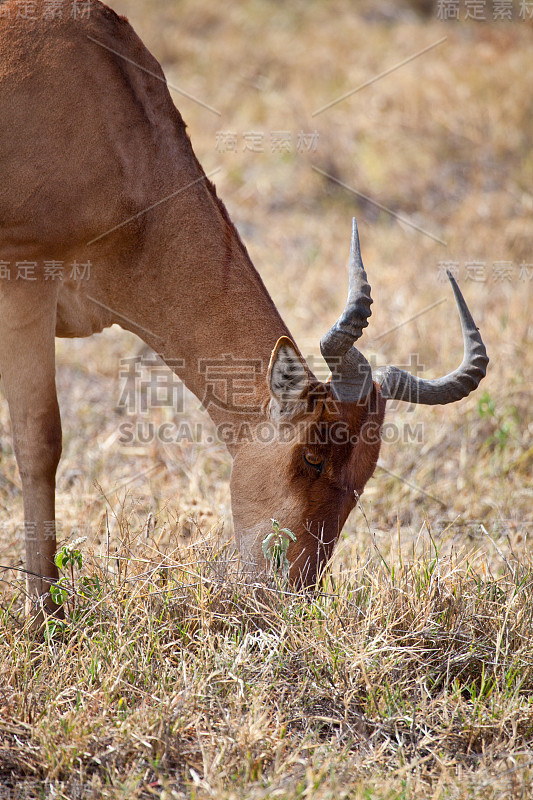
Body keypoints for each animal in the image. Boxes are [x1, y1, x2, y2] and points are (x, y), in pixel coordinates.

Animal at [0, 0, 486, 616]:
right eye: (312, 456)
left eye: (366, 472)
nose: (289, 596)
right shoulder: (24, 286)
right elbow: (40, 441)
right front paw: (44, 613)